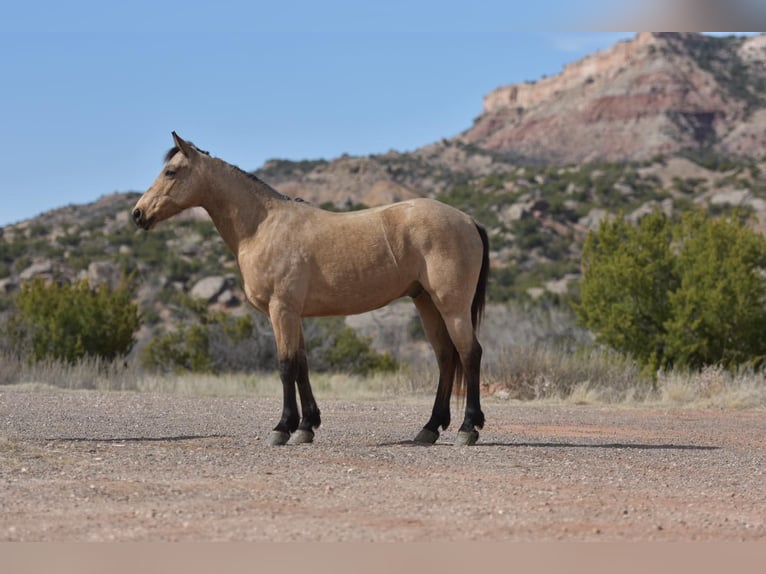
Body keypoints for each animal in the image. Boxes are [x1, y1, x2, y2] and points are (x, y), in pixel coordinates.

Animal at [134, 133, 492, 448]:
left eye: (170, 171)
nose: (138, 214)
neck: (262, 226)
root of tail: (468, 220)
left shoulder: (281, 310)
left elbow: (285, 366)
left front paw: (282, 428)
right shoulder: (294, 314)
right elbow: (302, 365)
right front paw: (306, 426)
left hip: (452, 306)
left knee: (470, 353)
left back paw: (467, 428)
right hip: (426, 303)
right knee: (446, 356)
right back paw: (429, 428)